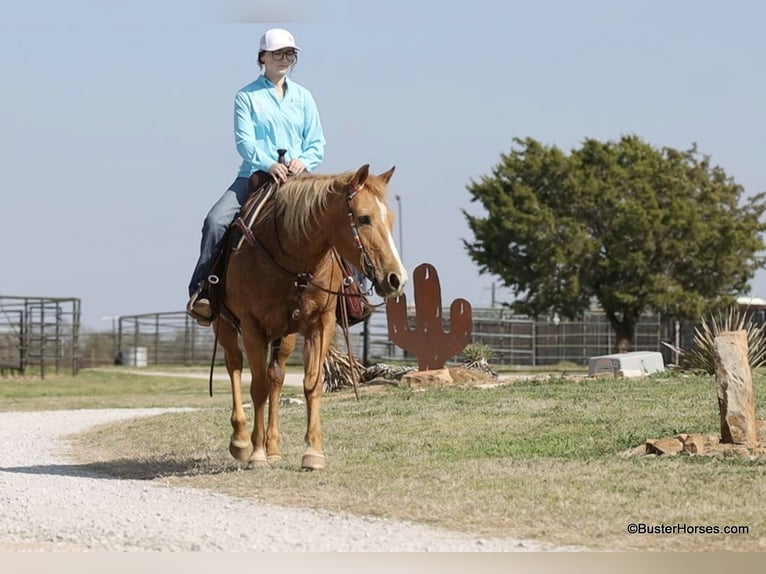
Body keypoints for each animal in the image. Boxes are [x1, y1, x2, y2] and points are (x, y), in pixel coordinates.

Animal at [212, 164, 408, 470]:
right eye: (363, 218)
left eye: (390, 218)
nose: (396, 278)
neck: (292, 260)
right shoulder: (252, 326)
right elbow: (257, 387)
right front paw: (256, 454)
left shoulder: (321, 323)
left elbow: (311, 385)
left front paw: (313, 452)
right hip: (225, 324)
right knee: (235, 366)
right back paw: (242, 441)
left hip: (285, 335)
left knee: (276, 377)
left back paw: (274, 447)